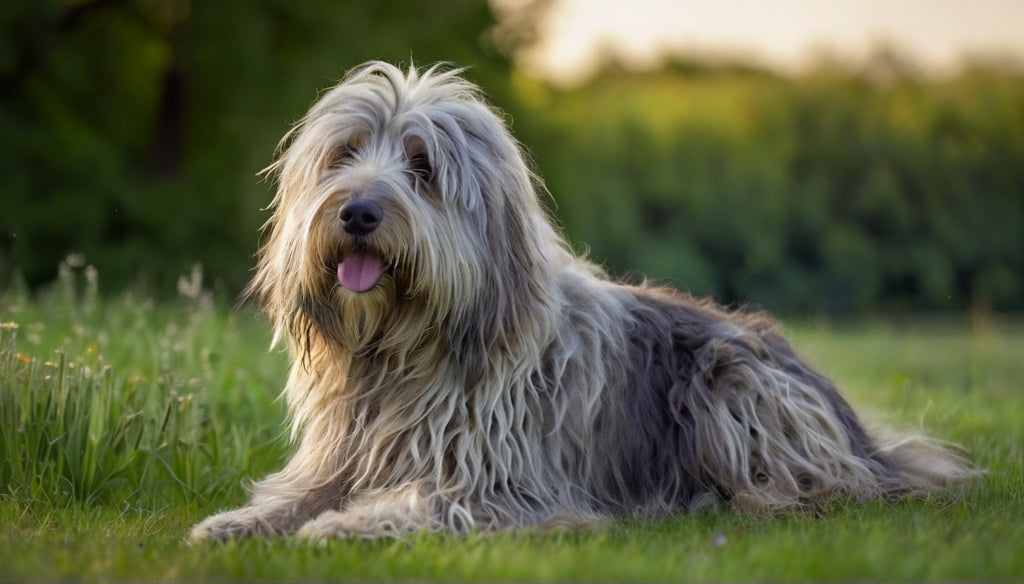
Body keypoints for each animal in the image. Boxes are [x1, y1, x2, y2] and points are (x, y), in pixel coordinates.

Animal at [188, 61, 978, 536]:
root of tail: (867, 441)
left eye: (422, 167)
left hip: (735, 387)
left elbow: (420, 498)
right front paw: (234, 525)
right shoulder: (341, 457)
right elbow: (294, 493)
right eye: (345, 154)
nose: (357, 213)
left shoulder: (501, 483)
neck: (403, 349)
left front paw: (341, 527)